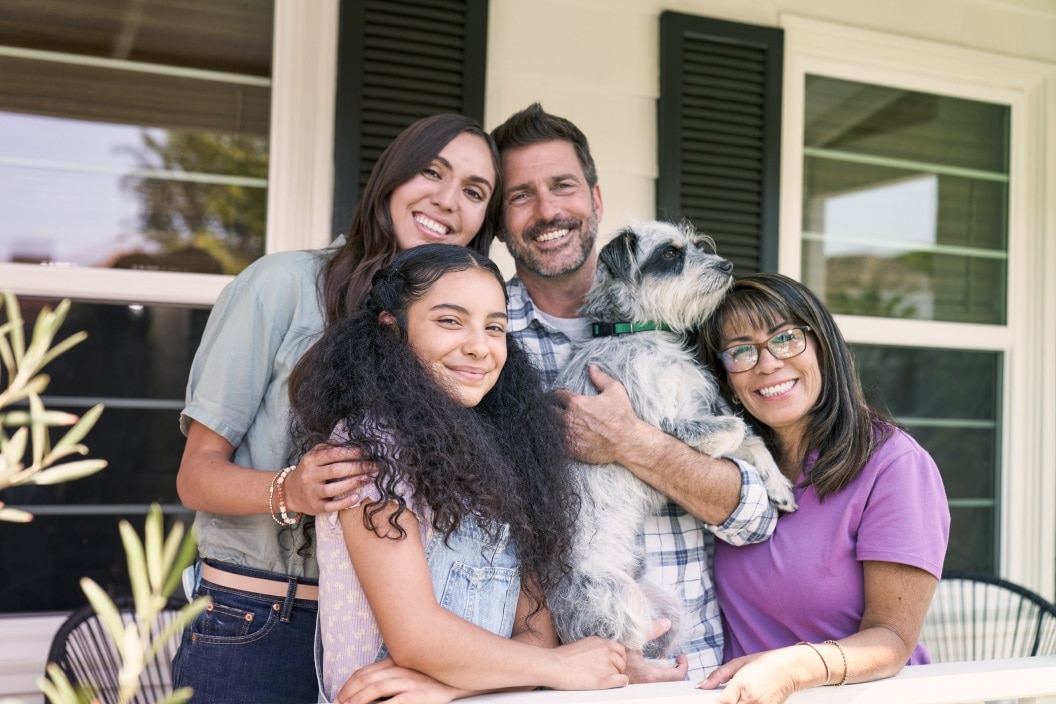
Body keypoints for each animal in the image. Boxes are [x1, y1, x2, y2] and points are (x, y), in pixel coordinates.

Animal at [549, 220, 794, 662]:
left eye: (697, 246)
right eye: (668, 254)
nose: (726, 266)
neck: (637, 332)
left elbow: (751, 442)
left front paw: (778, 486)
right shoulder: (662, 425)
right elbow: (735, 429)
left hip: (668, 607)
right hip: (616, 602)